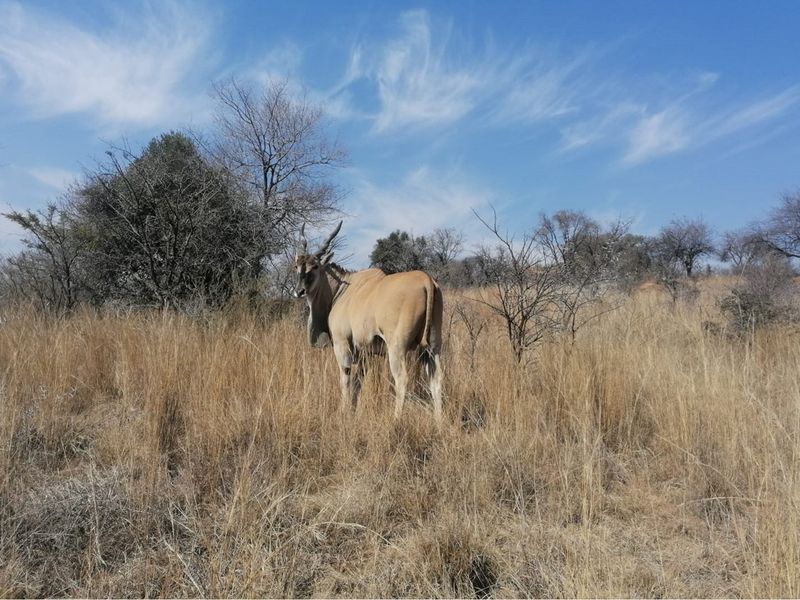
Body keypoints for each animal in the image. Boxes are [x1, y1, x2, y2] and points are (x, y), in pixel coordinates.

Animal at [294, 222, 444, 419]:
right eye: (296, 267)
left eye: (315, 267)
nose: (299, 291)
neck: (342, 289)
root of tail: (426, 279)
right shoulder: (365, 354)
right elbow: (358, 383)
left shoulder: (343, 346)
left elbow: (346, 380)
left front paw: (344, 412)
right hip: (432, 347)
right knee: (436, 378)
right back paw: (439, 420)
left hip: (397, 347)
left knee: (402, 379)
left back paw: (396, 419)